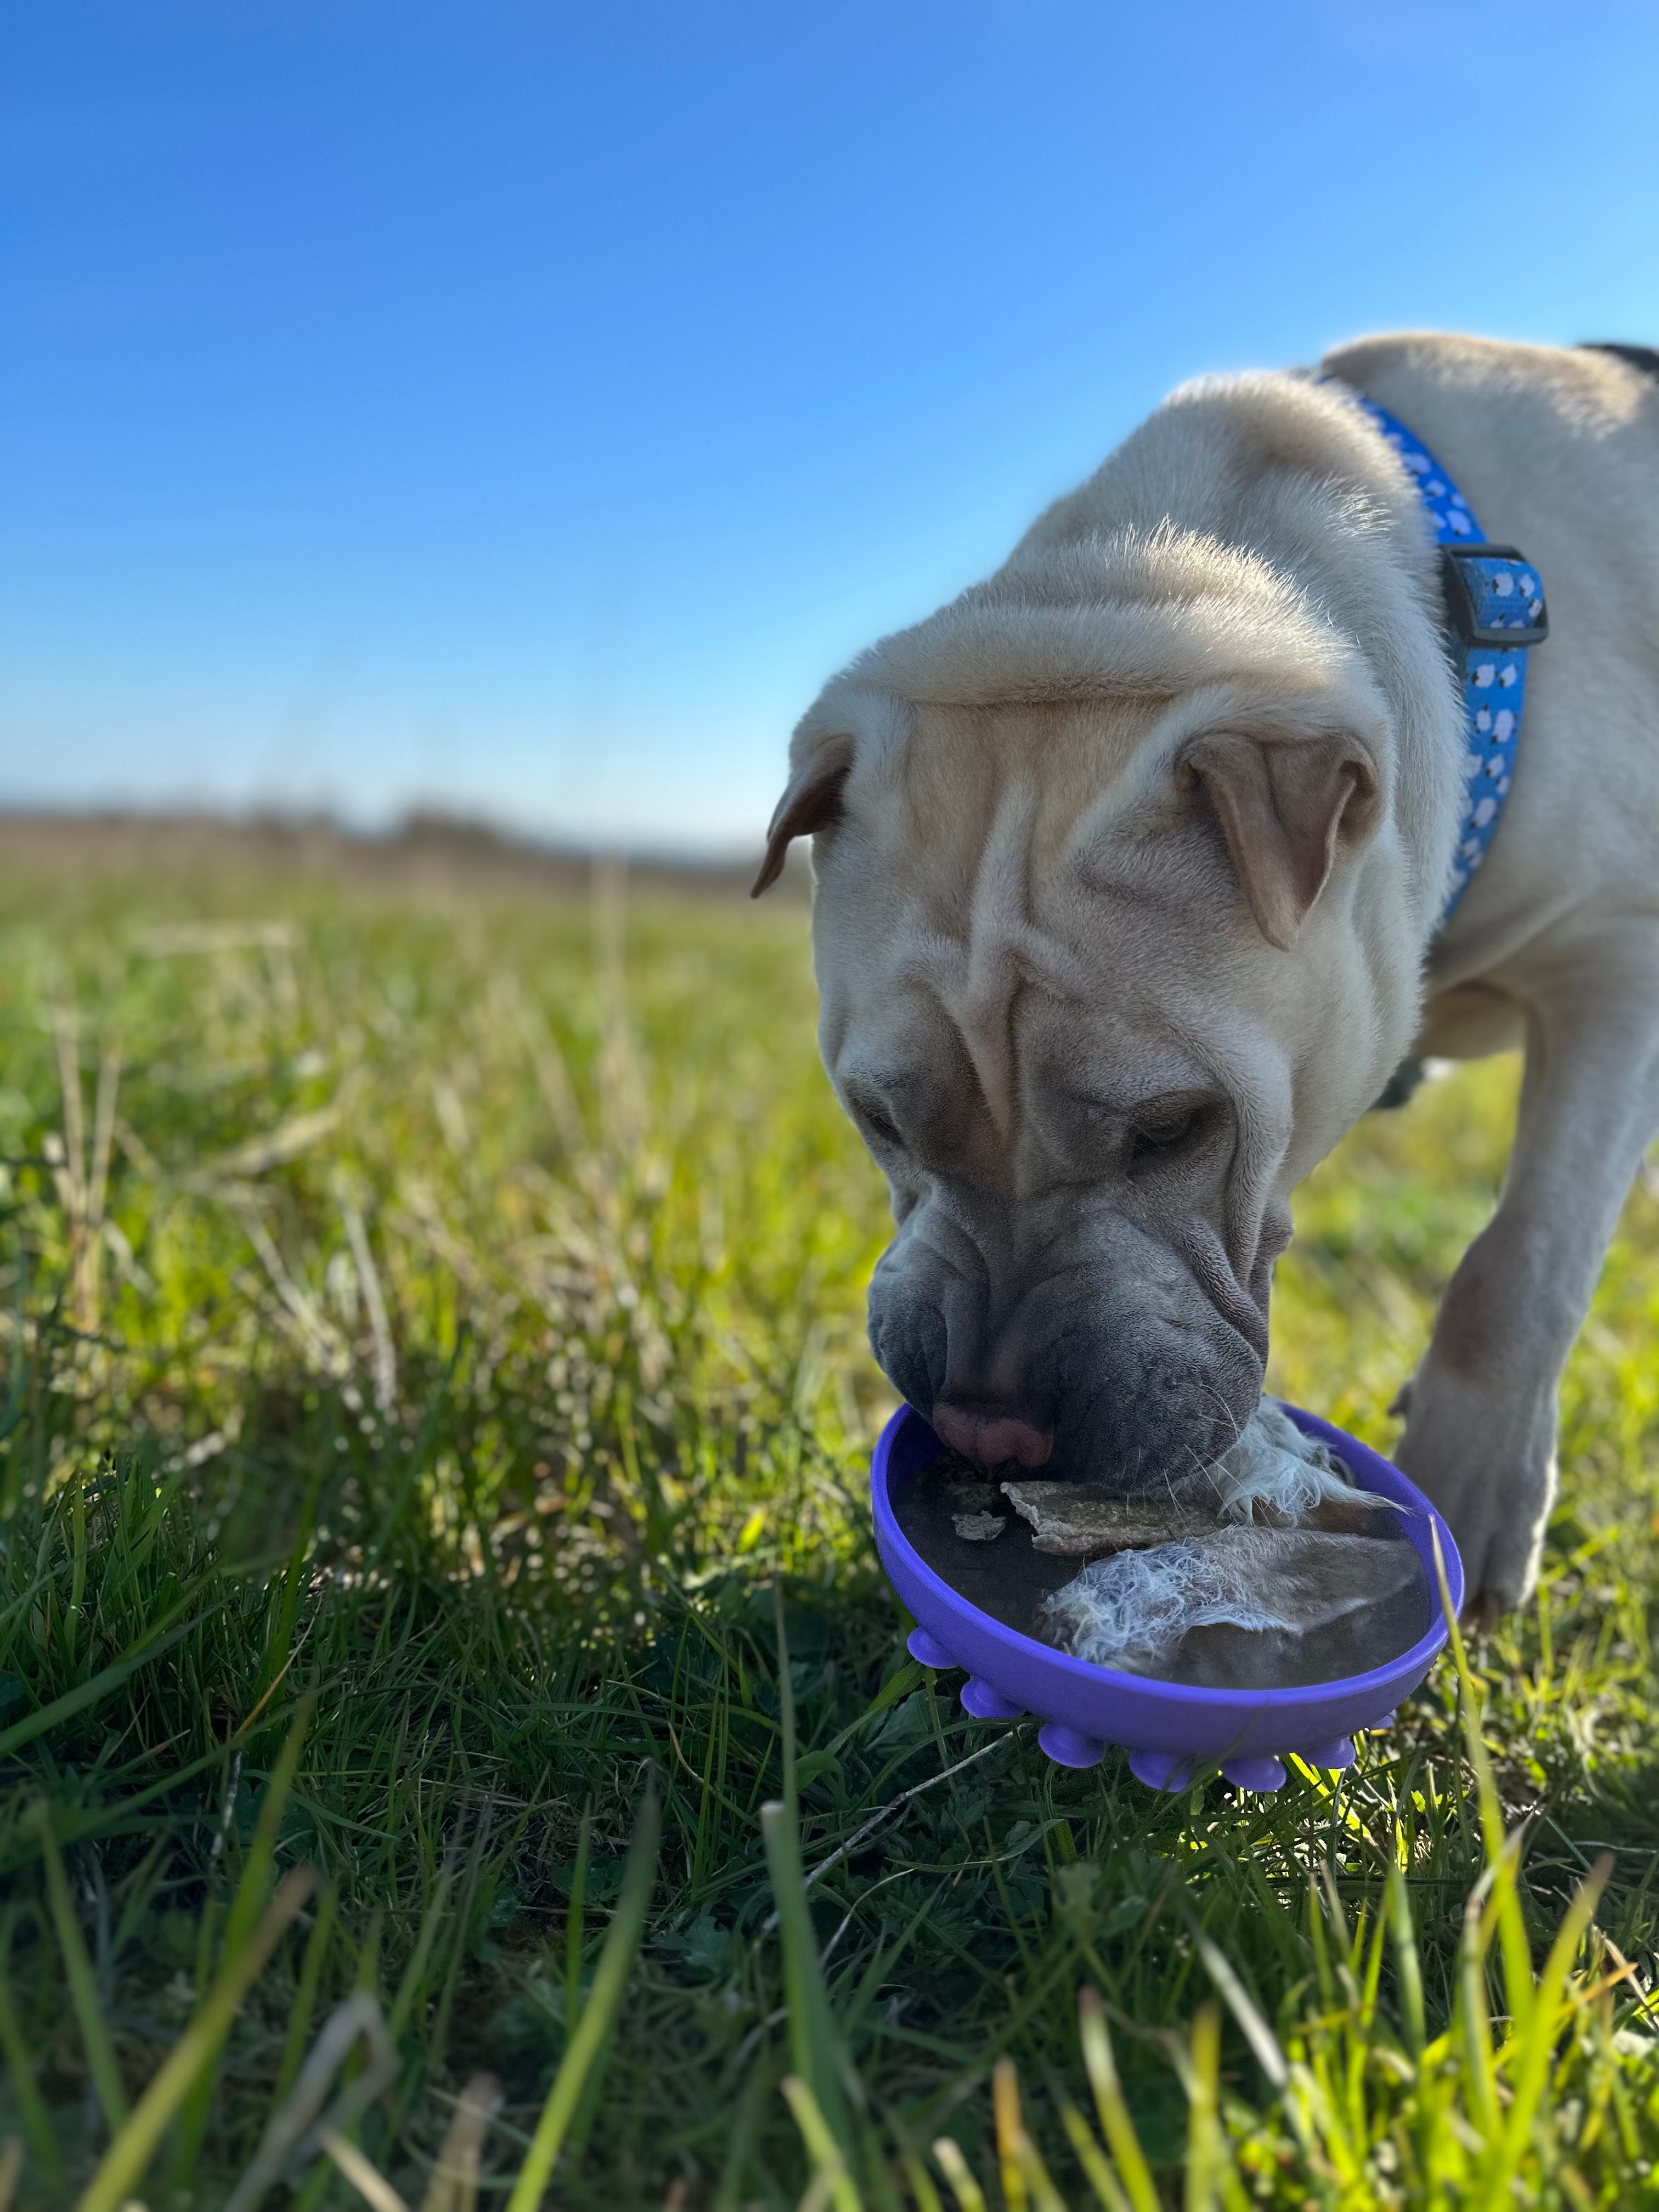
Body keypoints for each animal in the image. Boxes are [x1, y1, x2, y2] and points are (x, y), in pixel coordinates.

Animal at [756, 327, 1659, 1619]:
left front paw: (1466, 1491)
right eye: (877, 1118)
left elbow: (1524, 1256)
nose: (988, 1429)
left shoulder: (1619, 960)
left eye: (1174, 1129)